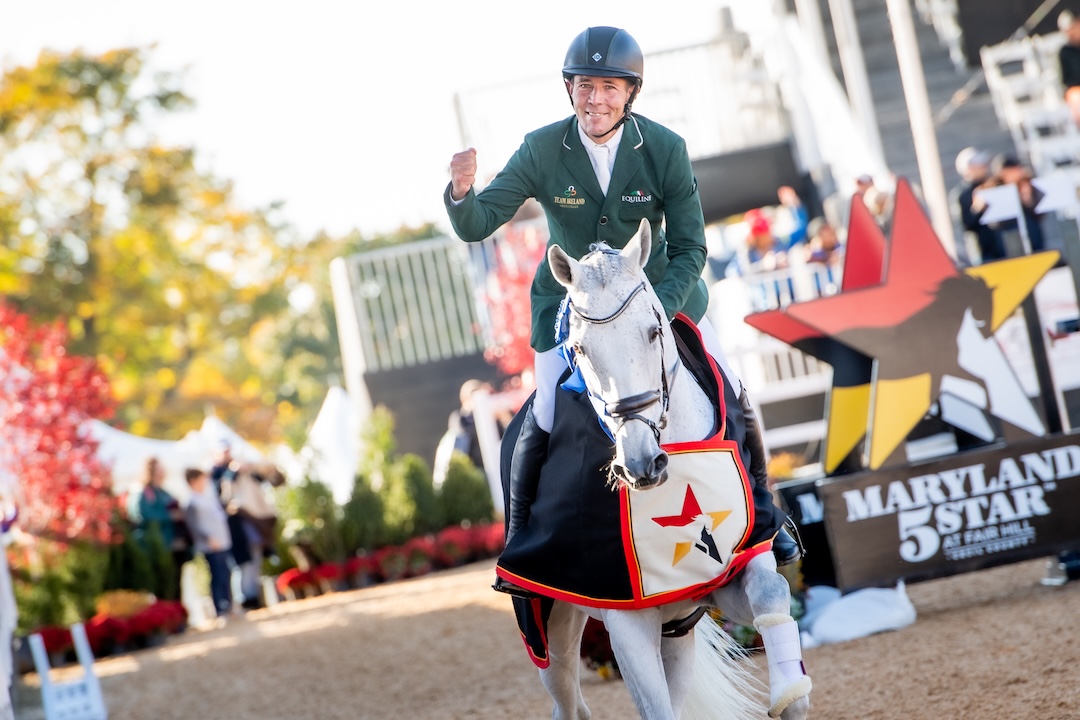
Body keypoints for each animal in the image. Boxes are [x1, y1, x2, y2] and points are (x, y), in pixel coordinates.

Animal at [507, 219, 812, 720]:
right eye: (579, 349)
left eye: (653, 331)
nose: (640, 464)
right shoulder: (626, 620)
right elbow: (655, 709)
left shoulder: (730, 568)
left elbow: (771, 592)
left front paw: (790, 693)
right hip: (549, 630)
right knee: (567, 699)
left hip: (678, 630)